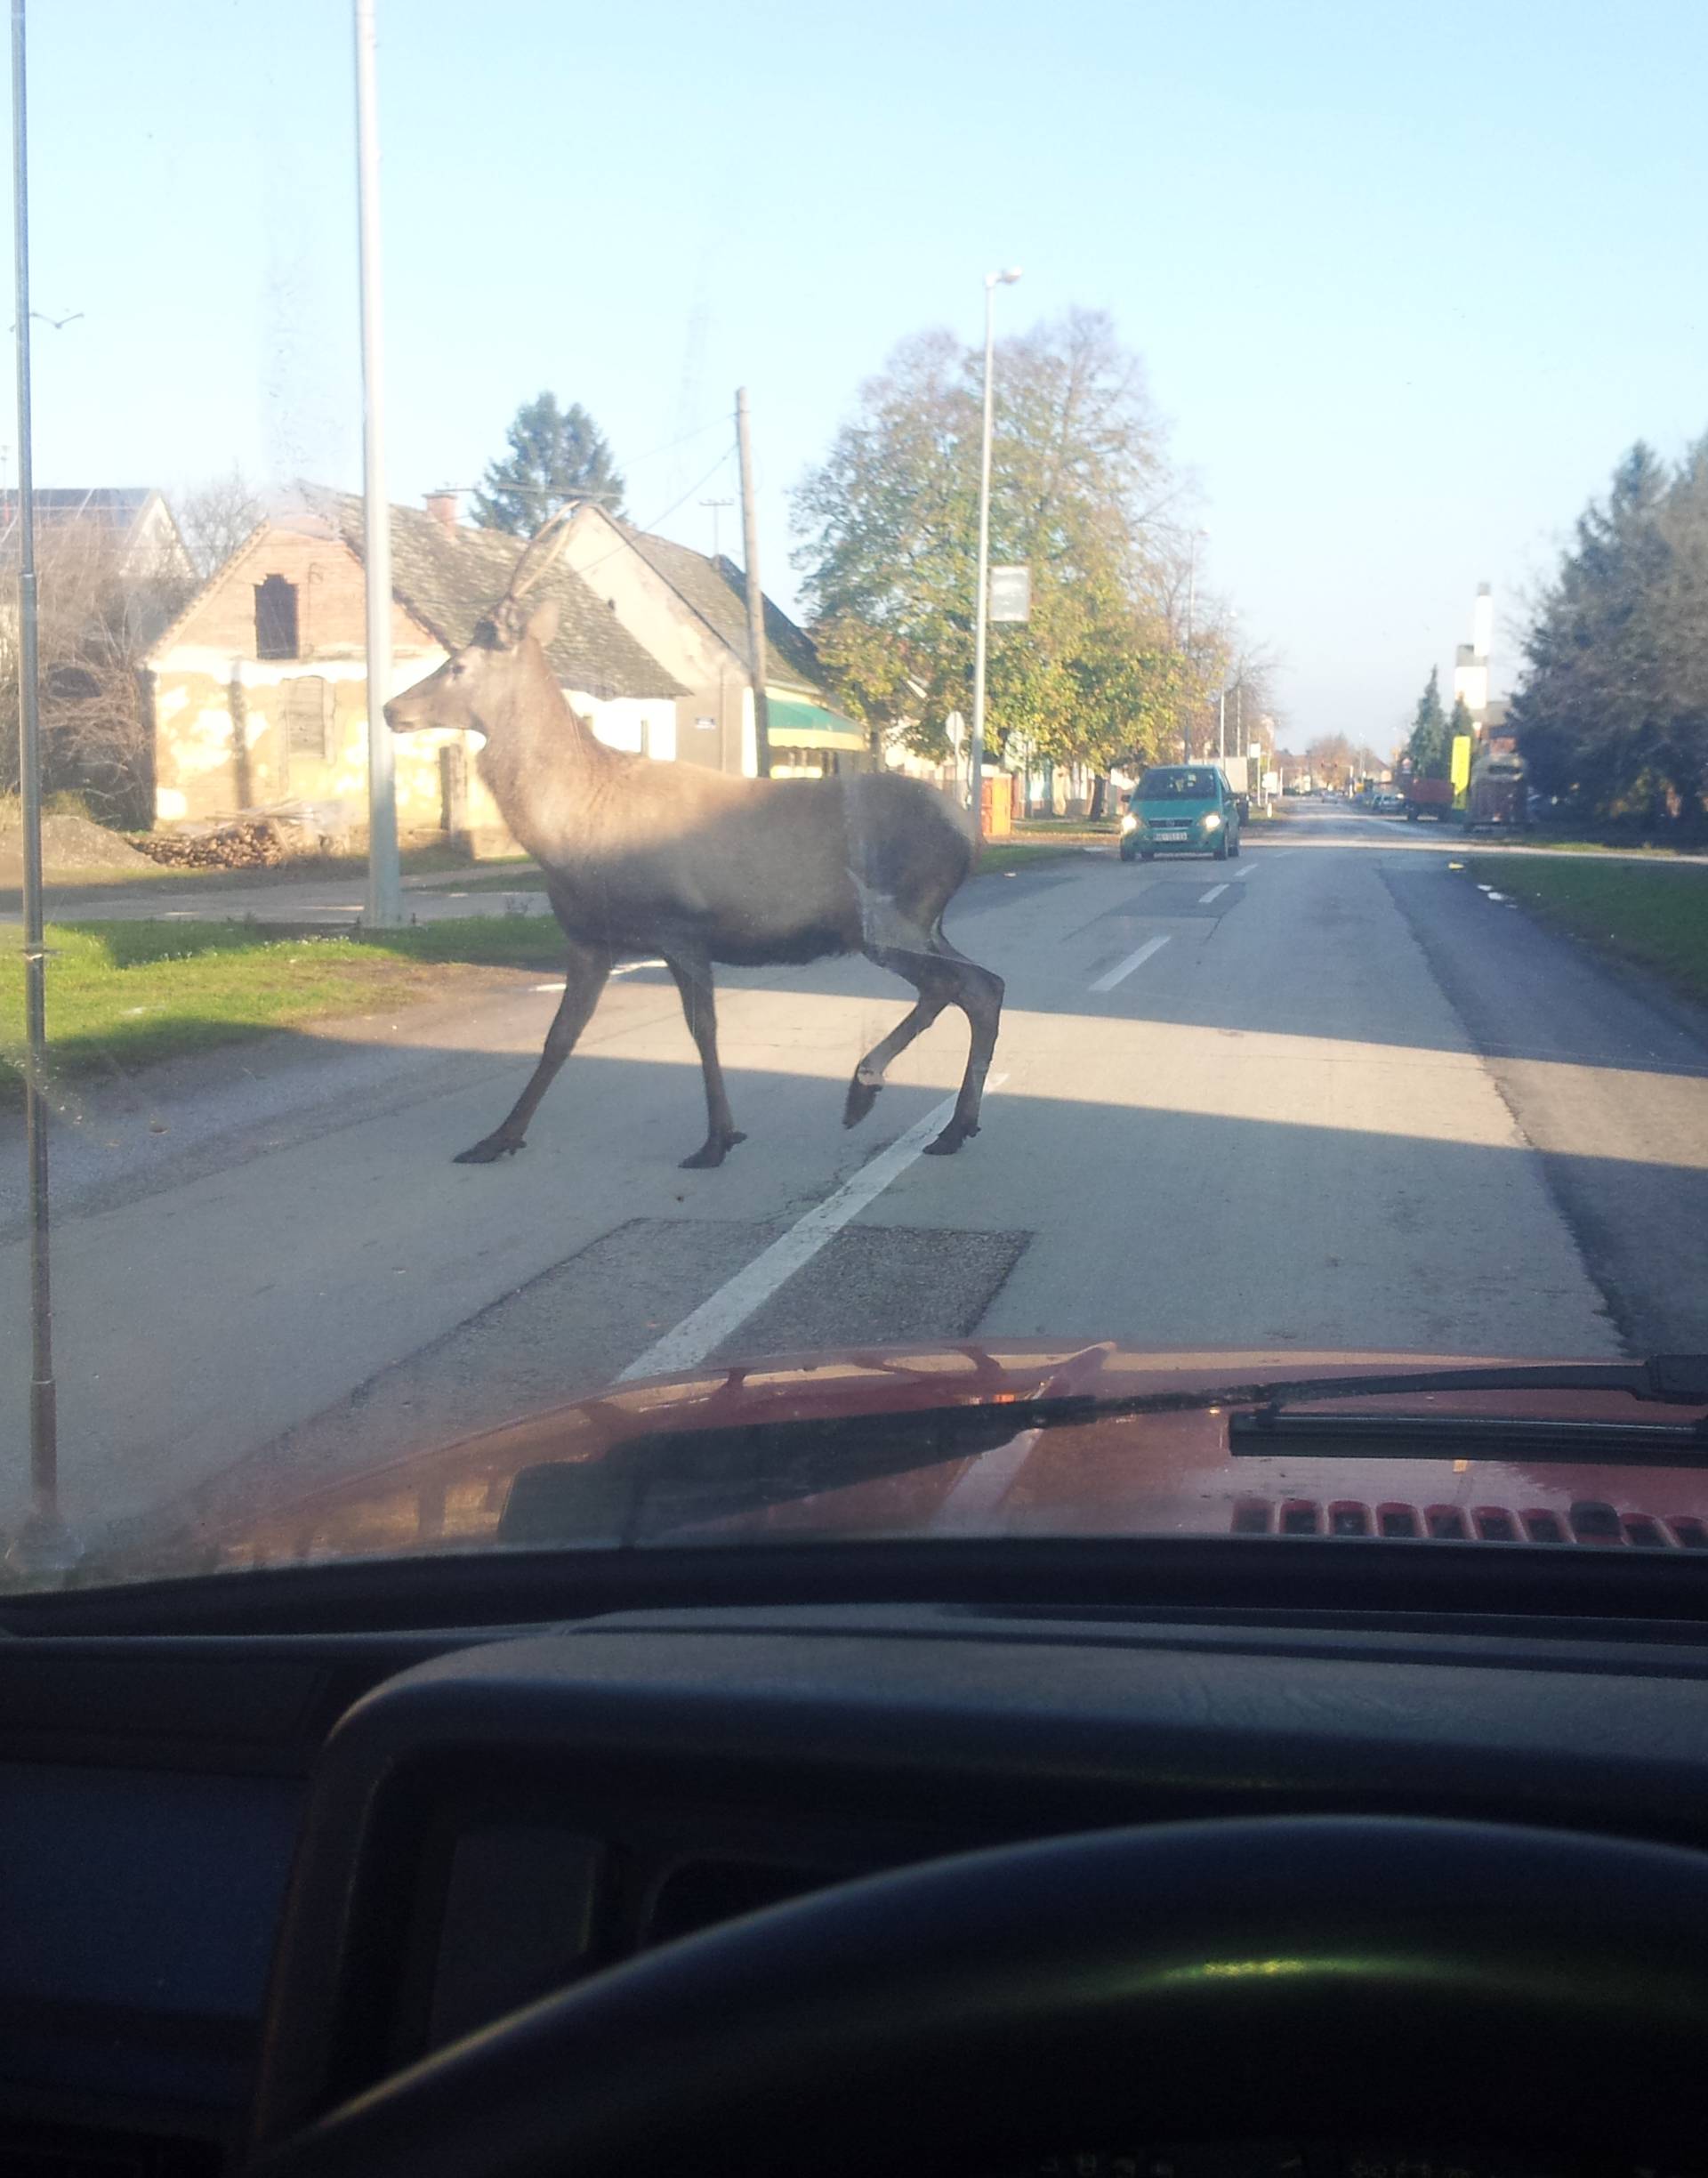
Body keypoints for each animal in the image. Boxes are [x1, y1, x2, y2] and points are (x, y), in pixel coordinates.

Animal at [387, 516, 1002, 1175]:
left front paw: (716, 1138)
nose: (392, 707)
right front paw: (498, 1136)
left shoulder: (680, 927)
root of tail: (970, 833)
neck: (568, 830)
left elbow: (701, 1029)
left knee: (960, 987)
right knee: (982, 986)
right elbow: (559, 1038)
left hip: (890, 918)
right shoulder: (590, 939)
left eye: (457, 665)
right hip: (924, 920)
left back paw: (881, 1094)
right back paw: (950, 1121)